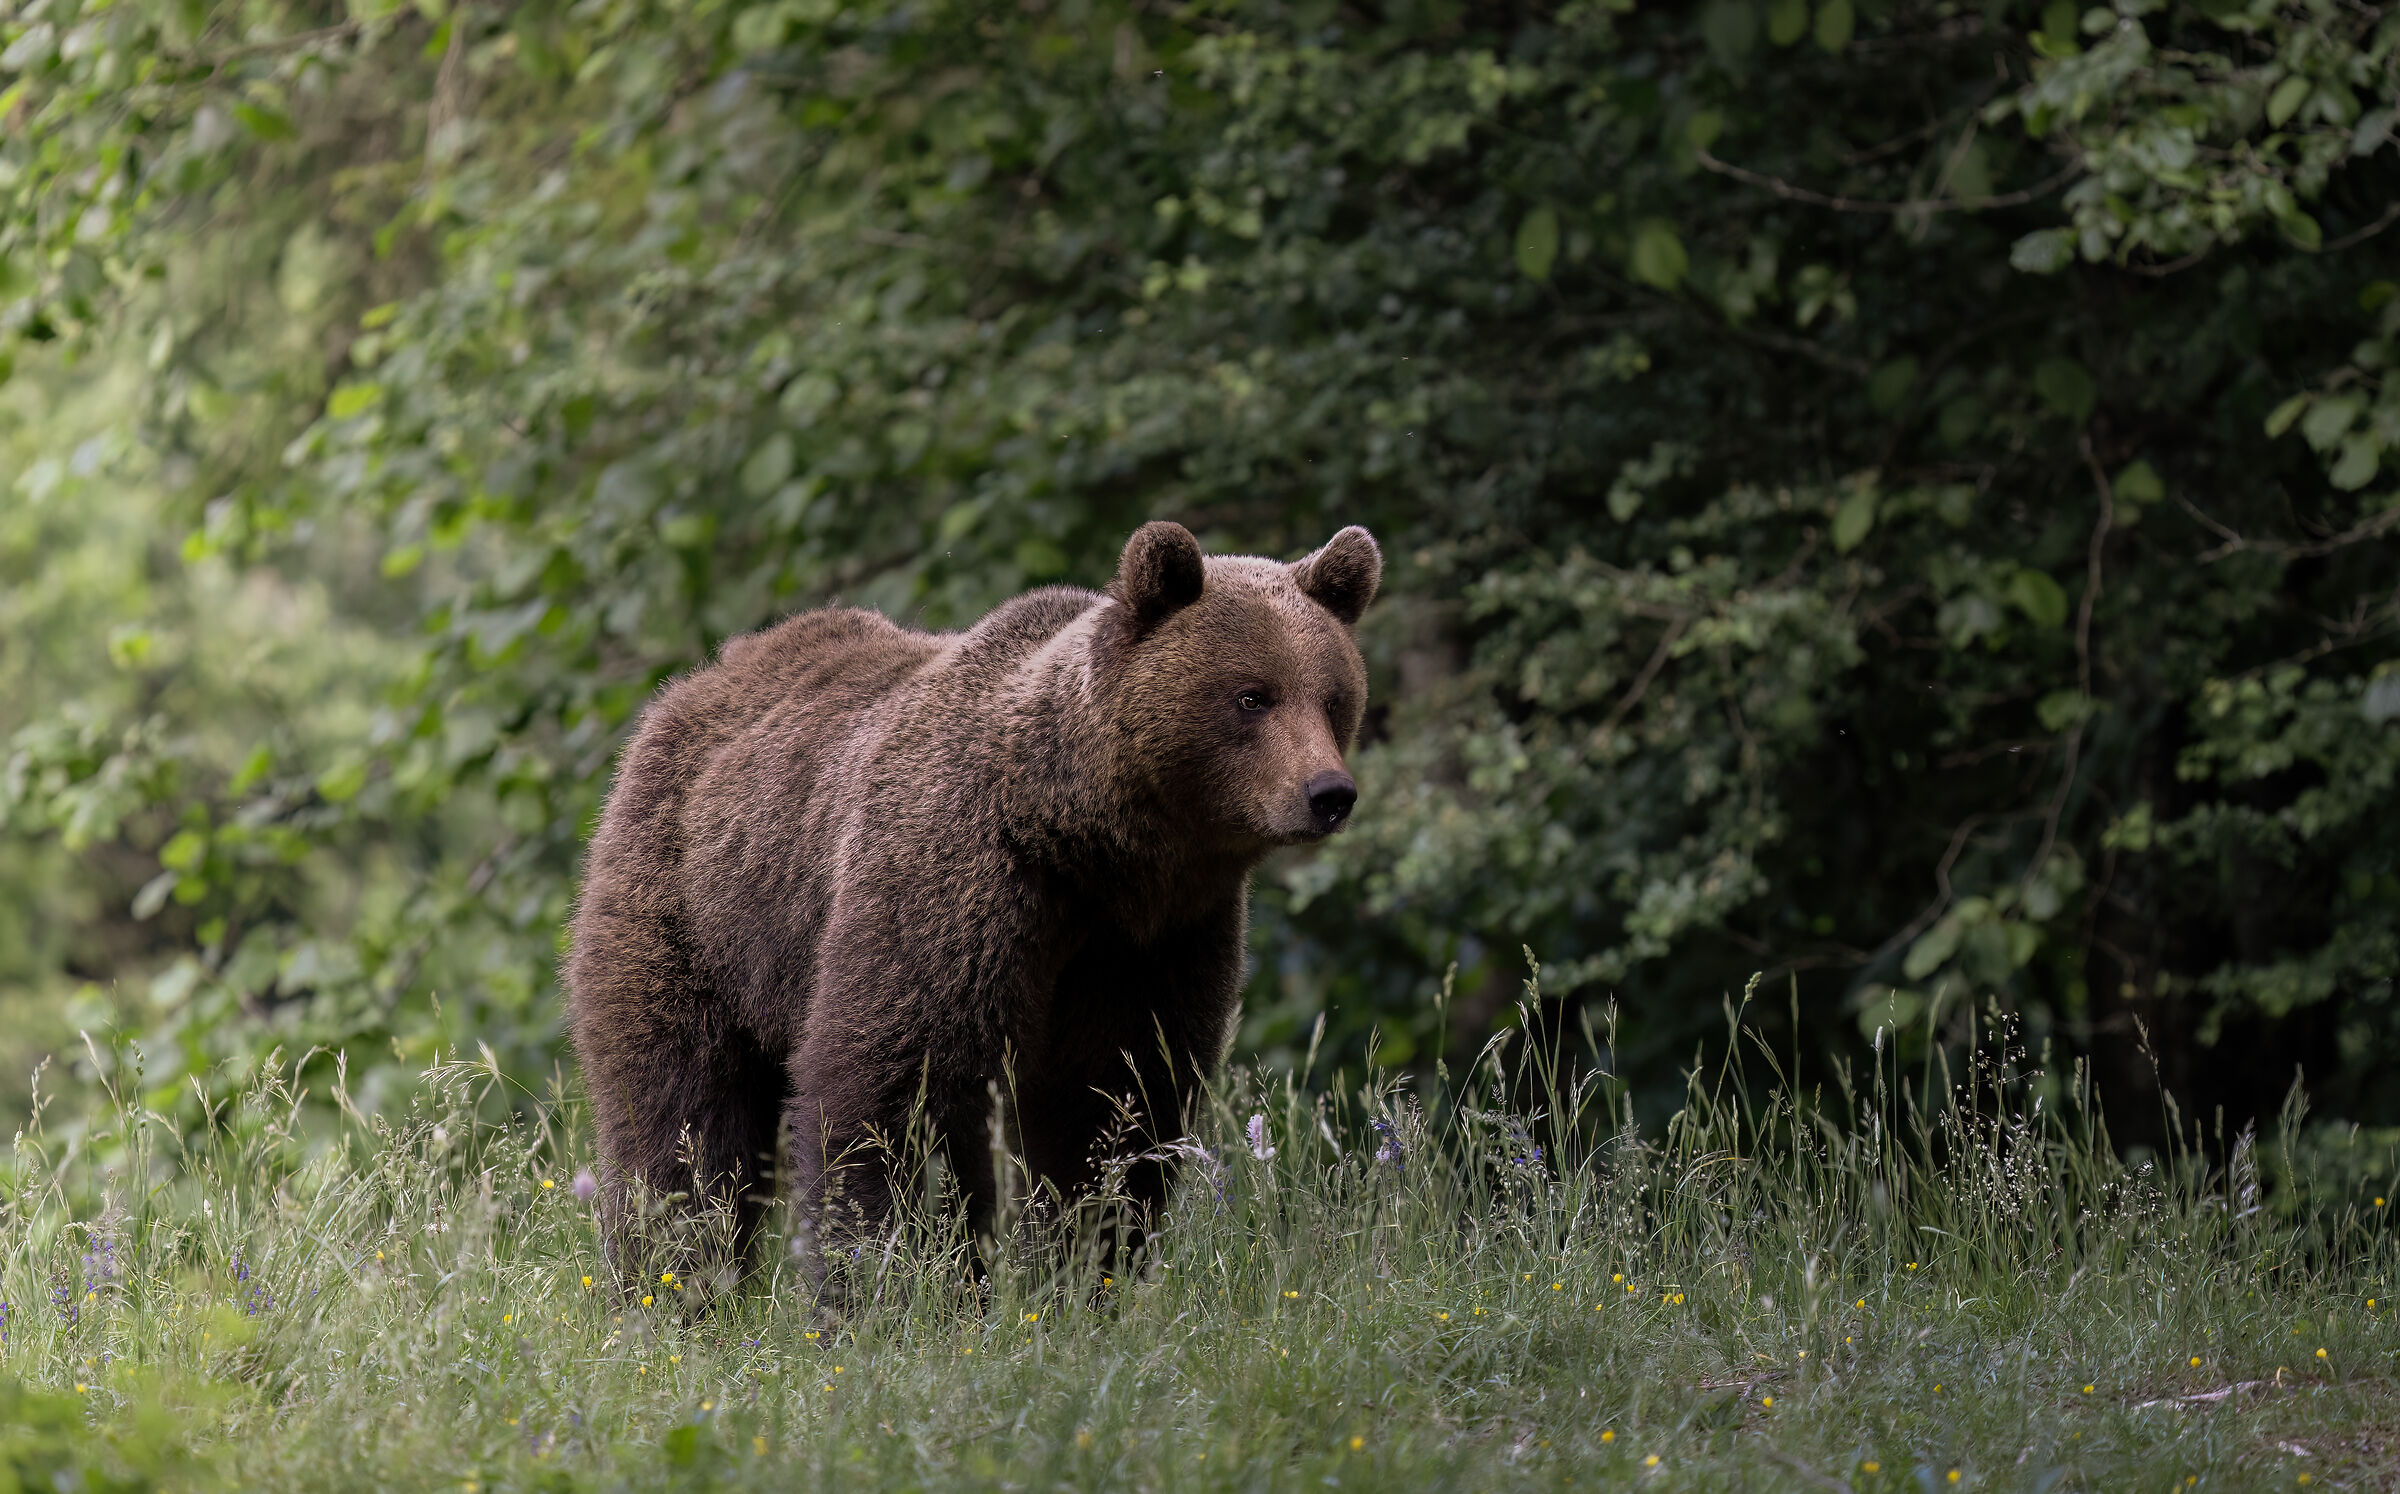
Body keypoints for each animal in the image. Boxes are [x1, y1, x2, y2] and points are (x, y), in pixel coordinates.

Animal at [564, 520, 1380, 1281]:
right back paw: (673, 1277)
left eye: (1334, 698)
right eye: (1252, 696)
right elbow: (887, 1086)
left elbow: (1114, 1103)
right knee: (683, 1114)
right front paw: (881, 1282)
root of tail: (701, 679)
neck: (1085, 841)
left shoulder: (1153, 938)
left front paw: (1089, 1266)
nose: (1329, 793)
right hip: (694, 913)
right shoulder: (956, 883)